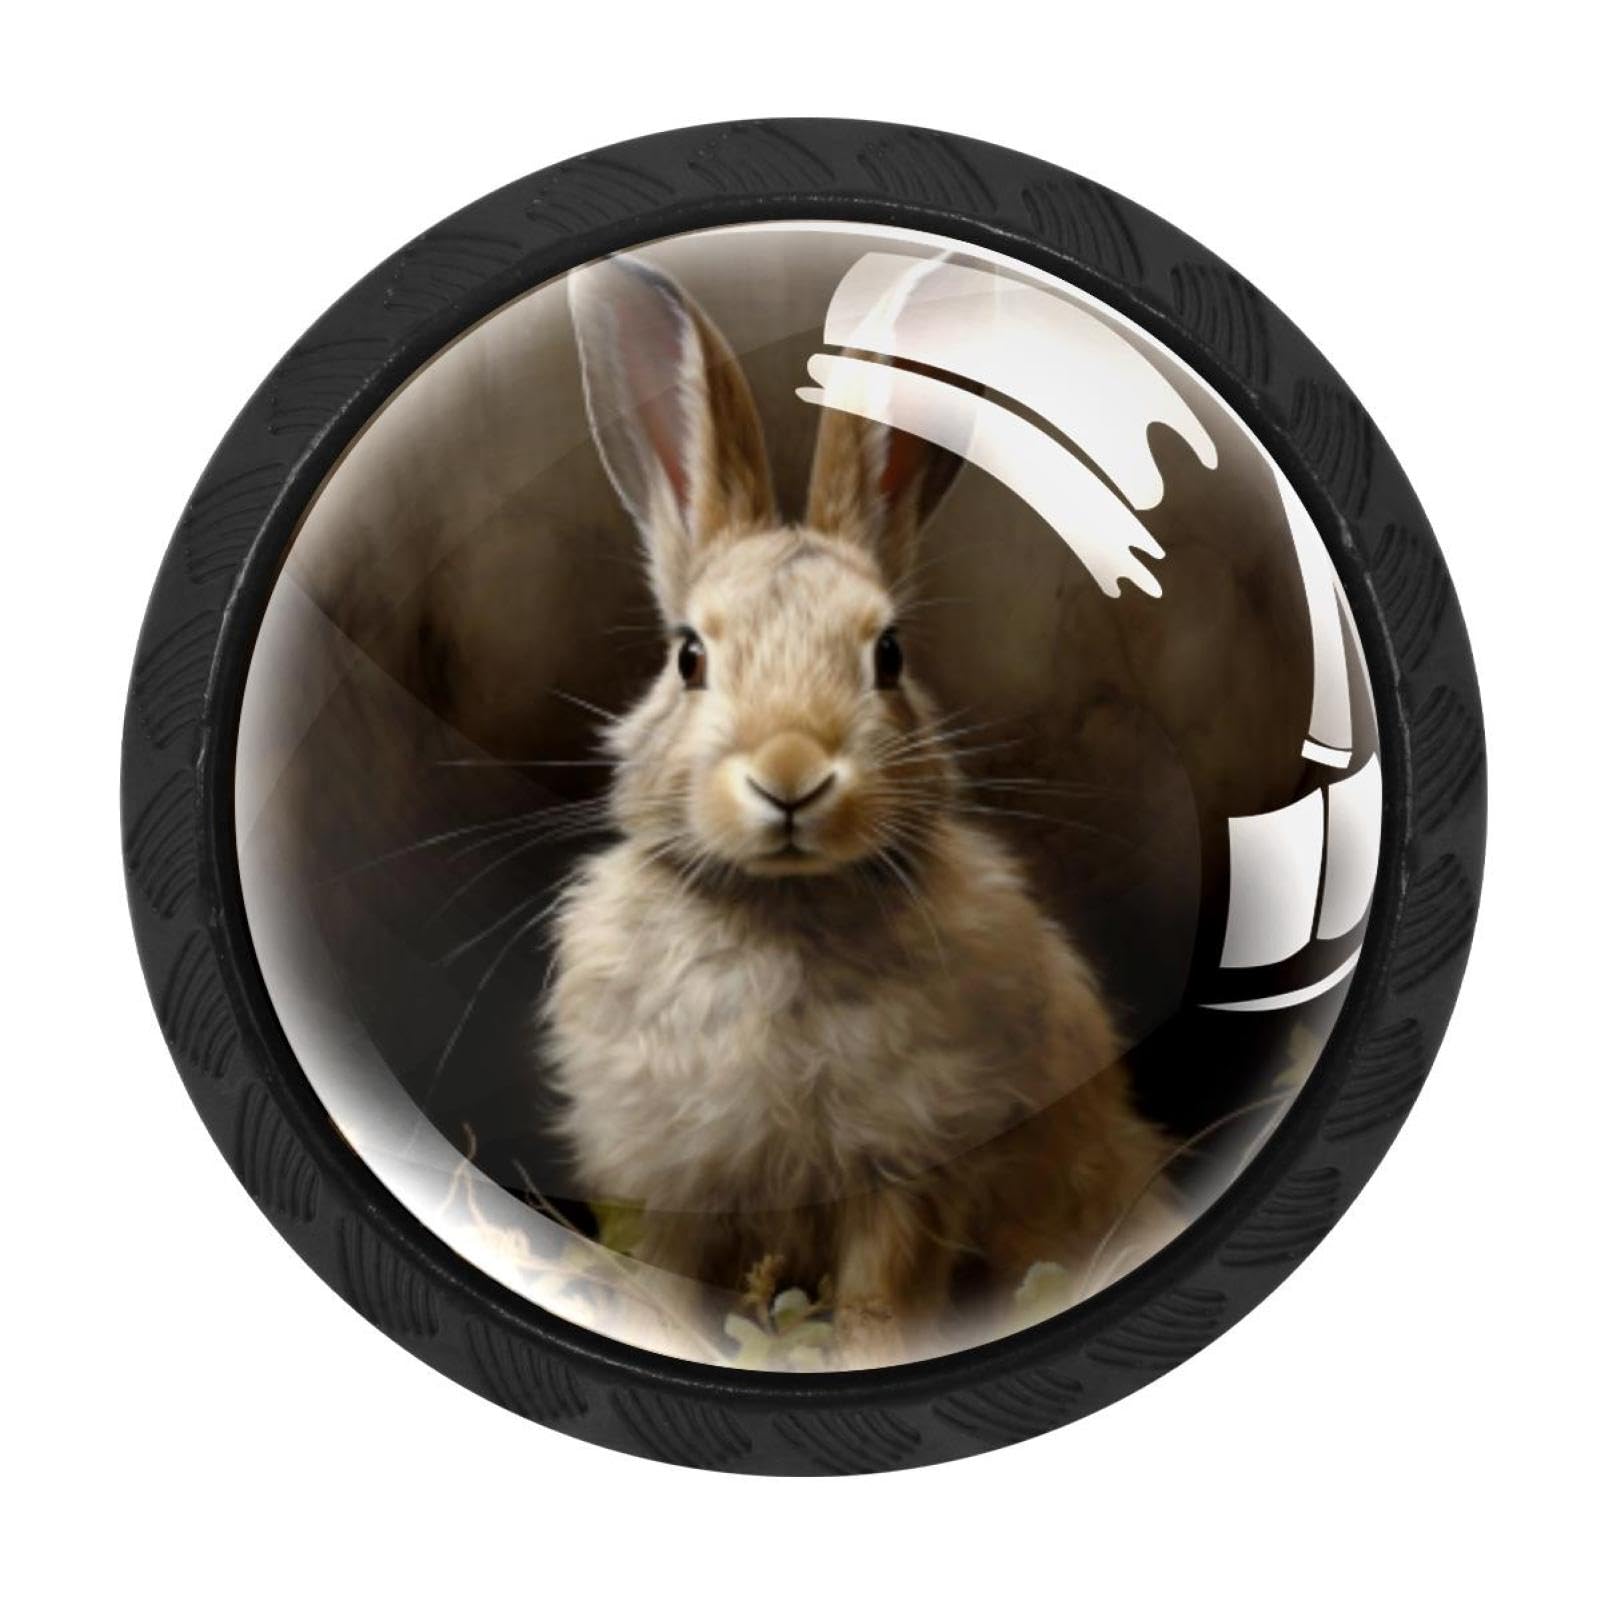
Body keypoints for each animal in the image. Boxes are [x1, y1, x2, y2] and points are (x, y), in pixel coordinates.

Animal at [544, 253, 1173, 1366]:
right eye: (688, 656)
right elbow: (662, 1284)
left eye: (888, 655)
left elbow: (882, 1296)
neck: (781, 908)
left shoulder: (910, 1170)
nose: (790, 772)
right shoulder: (670, 1179)